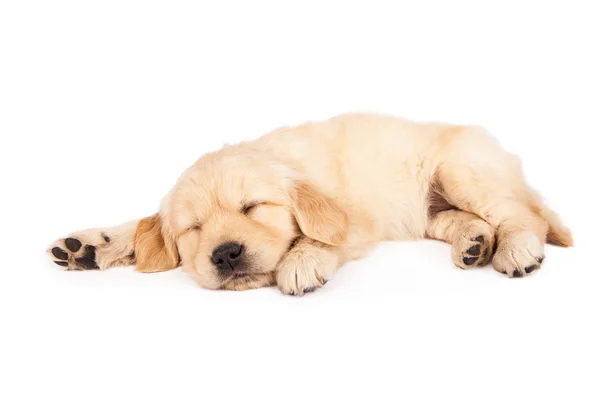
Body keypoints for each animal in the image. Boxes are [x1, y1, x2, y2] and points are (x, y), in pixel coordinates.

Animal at [45, 112, 572, 294]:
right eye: (195, 228)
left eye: (253, 207)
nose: (226, 255)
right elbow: (143, 226)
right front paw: (90, 245)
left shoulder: (355, 218)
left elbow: (321, 238)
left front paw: (301, 262)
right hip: (432, 210)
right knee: (465, 220)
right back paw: (474, 241)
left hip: (460, 170)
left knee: (523, 213)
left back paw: (514, 248)